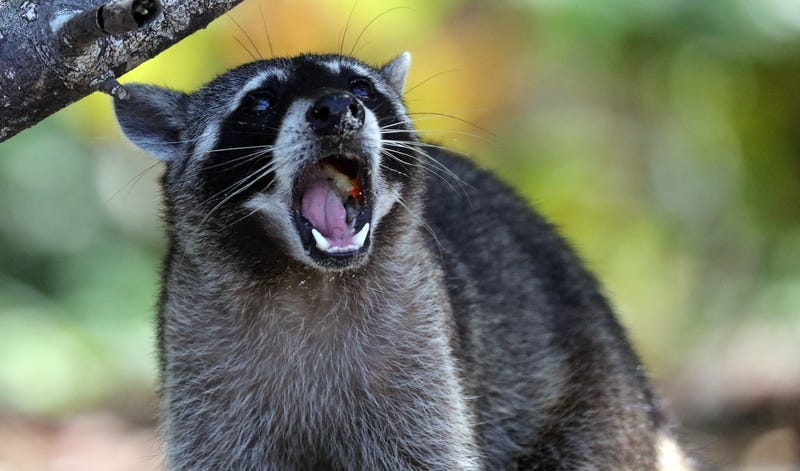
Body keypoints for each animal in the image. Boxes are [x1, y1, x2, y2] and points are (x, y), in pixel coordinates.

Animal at [113, 52, 691, 470]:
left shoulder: (423, 357)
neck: (307, 279)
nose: (336, 109)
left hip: (597, 405)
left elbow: (429, 455)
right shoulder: (202, 372)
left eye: (360, 88)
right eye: (260, 102)